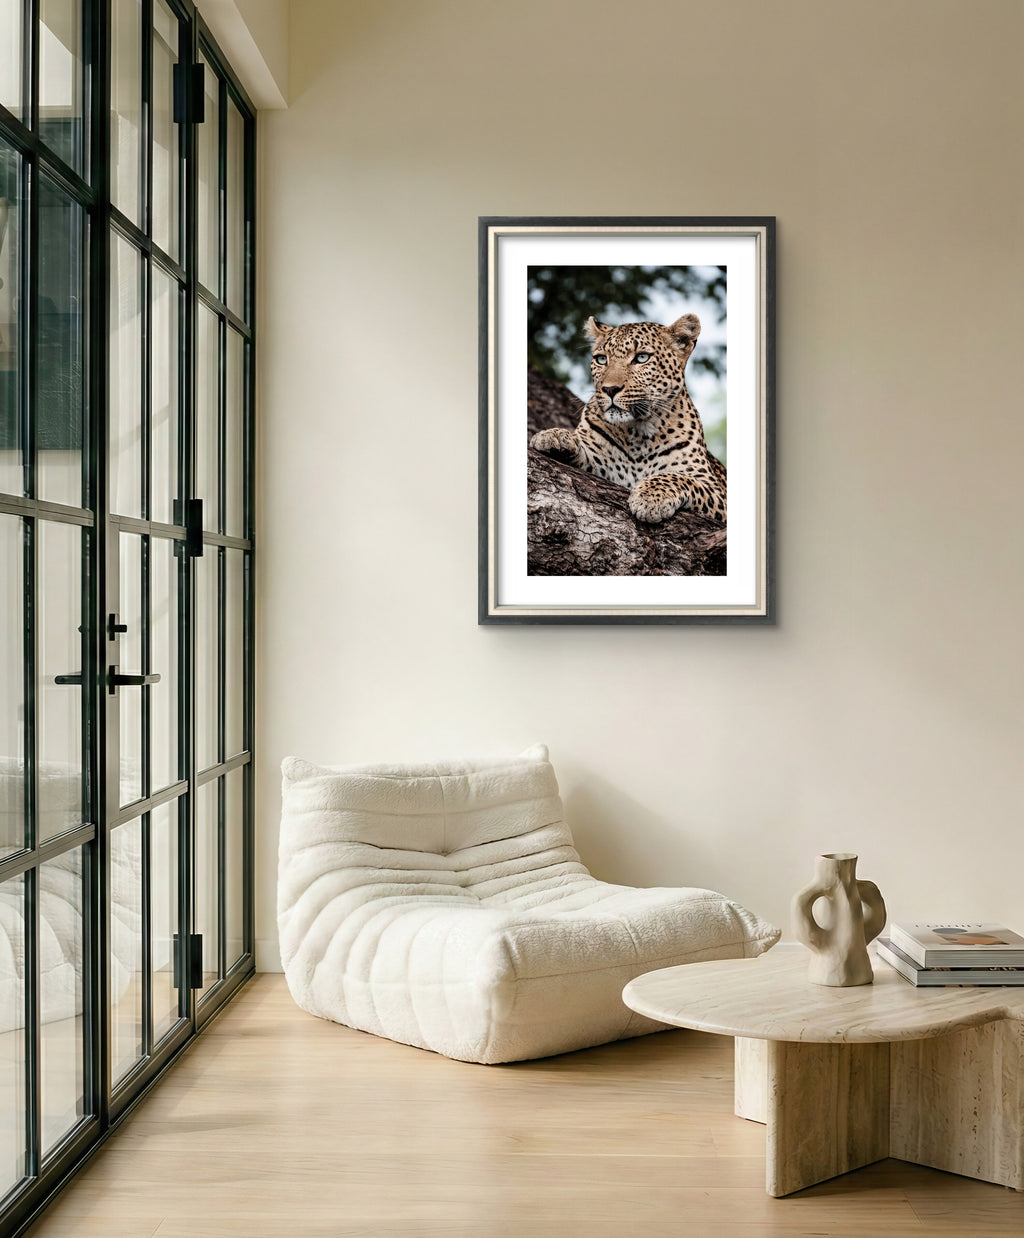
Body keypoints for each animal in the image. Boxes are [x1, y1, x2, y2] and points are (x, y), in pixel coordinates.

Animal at [530, 312, 726, 525]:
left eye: (641, 357)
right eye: (601, 359)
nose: (609, 389)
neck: (639, 431)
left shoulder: (715, 489)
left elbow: (677, 477)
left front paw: (650, 496)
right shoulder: (603, 463)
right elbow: (584, 449)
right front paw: (555, 437)